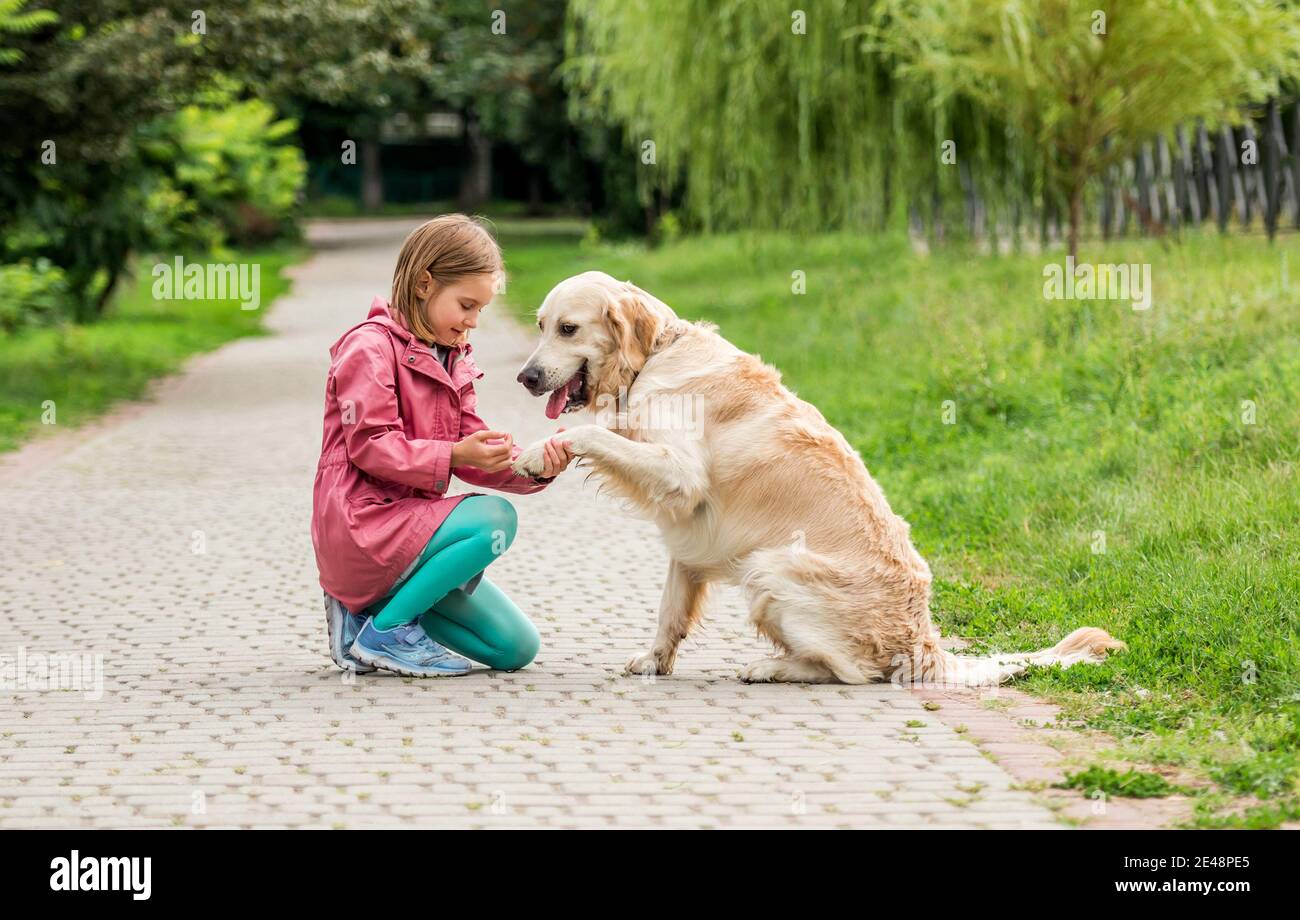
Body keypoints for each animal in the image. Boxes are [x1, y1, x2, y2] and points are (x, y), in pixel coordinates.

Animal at [512, 272, 1123, 680]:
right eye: (539, 326)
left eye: (569, 329)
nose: (525, 377)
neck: (656, 356)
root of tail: (924, 643)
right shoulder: (691, 535)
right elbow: (670, 608)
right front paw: (655, 660)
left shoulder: (681, 476)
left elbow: (591, 435)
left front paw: (538, 452)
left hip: (770, 567)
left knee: (853, 671)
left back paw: (773, 668)